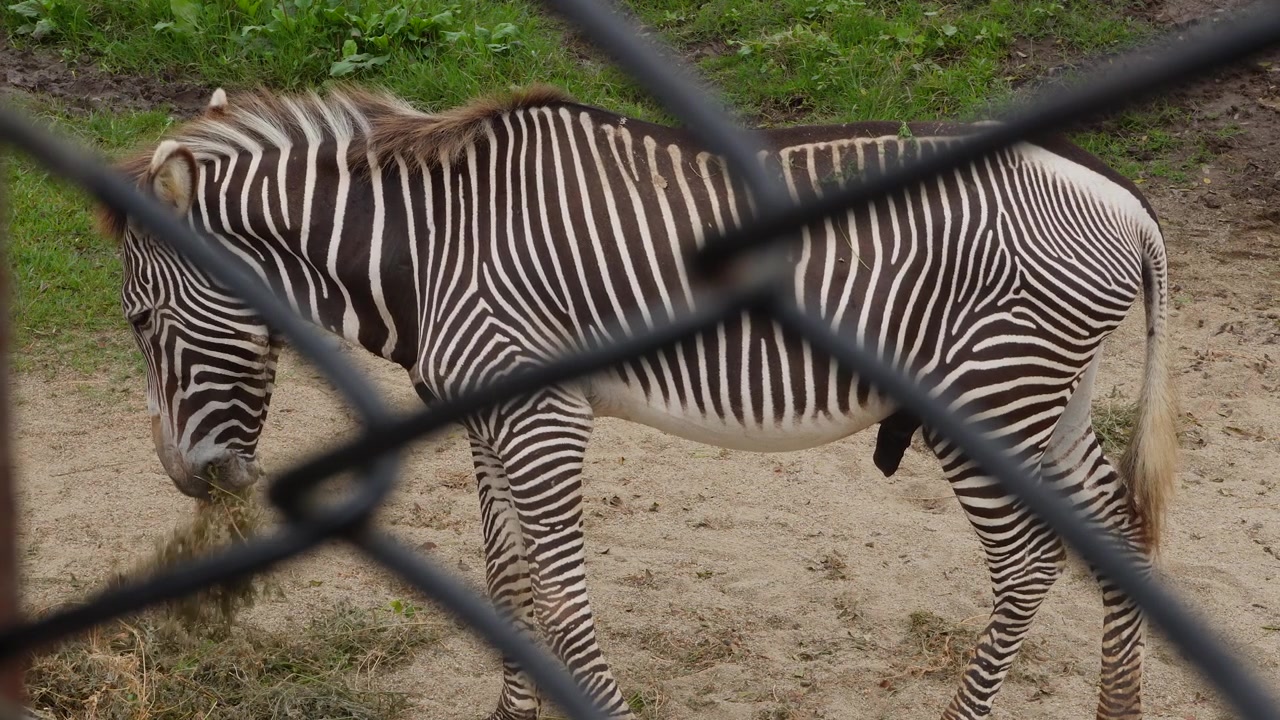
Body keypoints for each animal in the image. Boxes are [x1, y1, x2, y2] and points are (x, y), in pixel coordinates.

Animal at [98, 84, 1177, 720]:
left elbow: (564, 599)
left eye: (142, 320)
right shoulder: (483, 417)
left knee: (1029, 562)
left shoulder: (539, 417)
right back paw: (1115, 709)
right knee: (1115, 527)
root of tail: (1122, 197)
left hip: (984, 398)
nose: (190, 483)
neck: (428, 245)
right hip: (1051, 398)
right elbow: (509, 582)